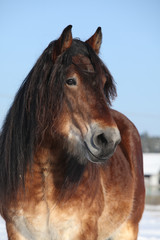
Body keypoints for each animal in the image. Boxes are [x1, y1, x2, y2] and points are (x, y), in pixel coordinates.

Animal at [0, 25, 145, 239]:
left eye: (103, 83)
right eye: (70, 80)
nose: (109, 139)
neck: (44, 174)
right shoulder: (17, 230)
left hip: (127, 229)